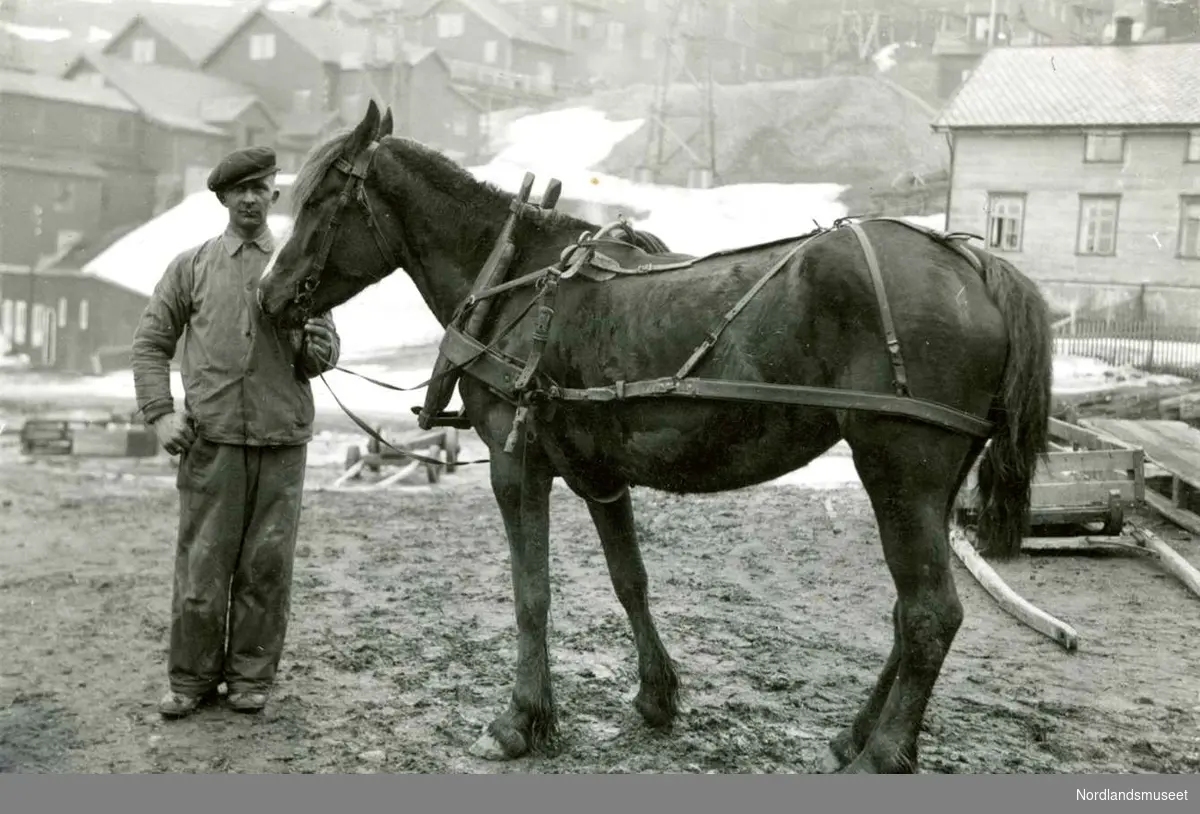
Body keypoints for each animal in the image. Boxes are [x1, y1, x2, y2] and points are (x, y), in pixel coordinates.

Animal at [255, 103, 1051, 777]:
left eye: (321, 199)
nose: (269, 298)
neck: (515, 278)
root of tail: (977, 266)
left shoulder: (517, 464)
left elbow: (532, 592)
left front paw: (520, 720)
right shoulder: (600, 475)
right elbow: (629, 579)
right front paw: (656, 696)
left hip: (899, 472)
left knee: (930, 613)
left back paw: (882, 754)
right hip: (926, 484)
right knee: (908, 613)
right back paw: (855, 736)